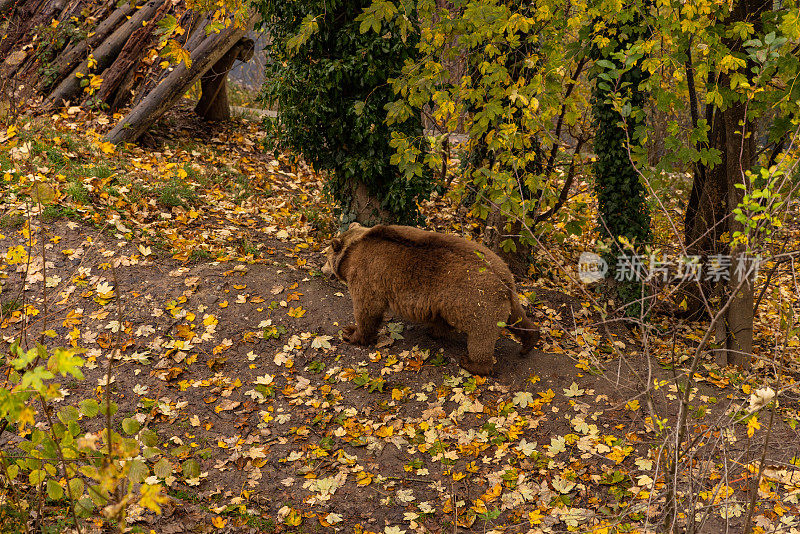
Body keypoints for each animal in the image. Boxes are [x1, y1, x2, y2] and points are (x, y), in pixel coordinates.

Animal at [322, 224, 540, 374]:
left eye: (326, 256)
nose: (323, 269)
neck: (351, 253)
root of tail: (504, 277)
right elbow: (439, 319)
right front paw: (436, 331)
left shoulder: (366, 274)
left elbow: (367, 308)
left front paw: (351, 333)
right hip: (503, 299)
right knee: (519, 319)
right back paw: (529, 343)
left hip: (477, 302)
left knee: (481, 337)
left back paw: (471, 363)